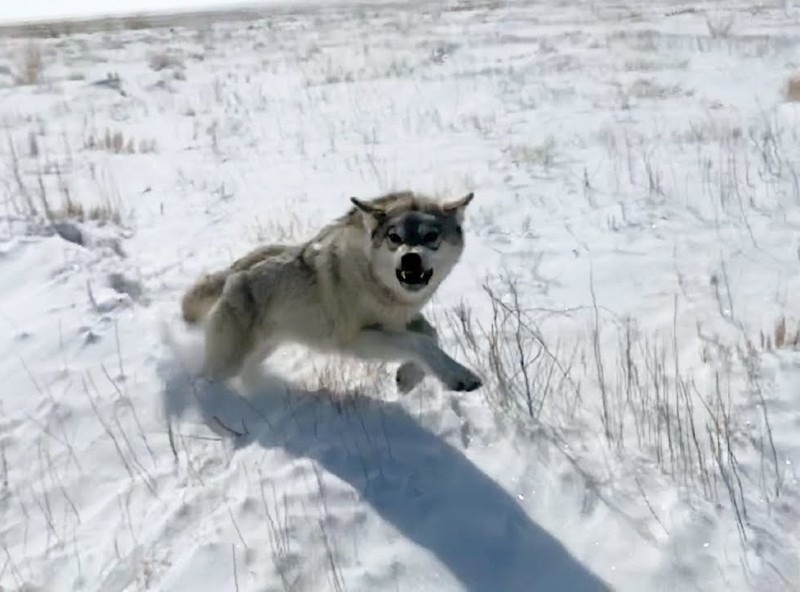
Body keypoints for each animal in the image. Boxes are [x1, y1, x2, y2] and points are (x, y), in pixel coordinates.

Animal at [180, 190, 482, 393]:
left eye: (431, 236)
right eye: (394, 237)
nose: (410, 259)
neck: (375, 282)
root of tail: (235, 273)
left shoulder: (401, 321)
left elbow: (431, 334)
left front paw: (407, 378)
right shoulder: (358, 340)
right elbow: (420, 343)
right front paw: (461, 377)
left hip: (264, 347)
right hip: (227, 362)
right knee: (201, 380)